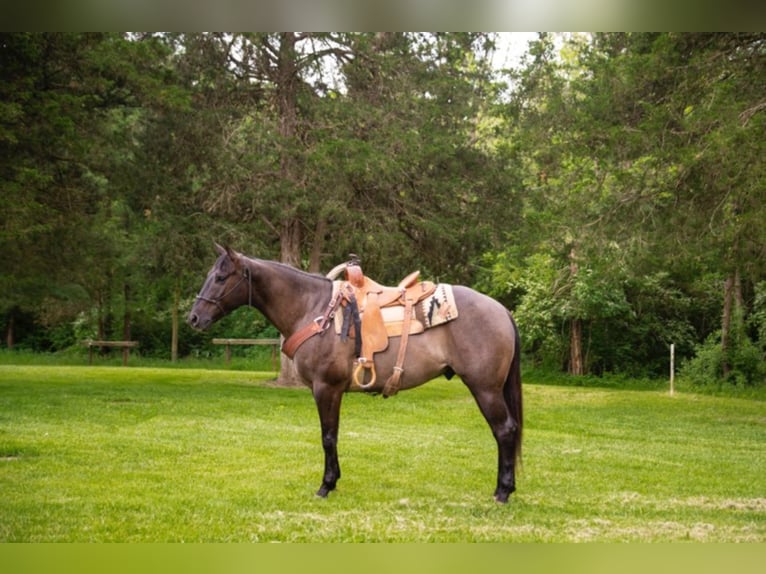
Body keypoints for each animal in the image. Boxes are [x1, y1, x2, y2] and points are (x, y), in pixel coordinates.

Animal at [188, 246, 520, 504]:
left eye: (220, 277)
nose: (194, 318)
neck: (313, 310)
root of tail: (502, 311)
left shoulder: (326, 388)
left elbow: (328, 436)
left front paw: (326, 485)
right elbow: (332, 435)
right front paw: (333, 481)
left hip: (485, 388)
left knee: (504, 431)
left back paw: (502, 492)